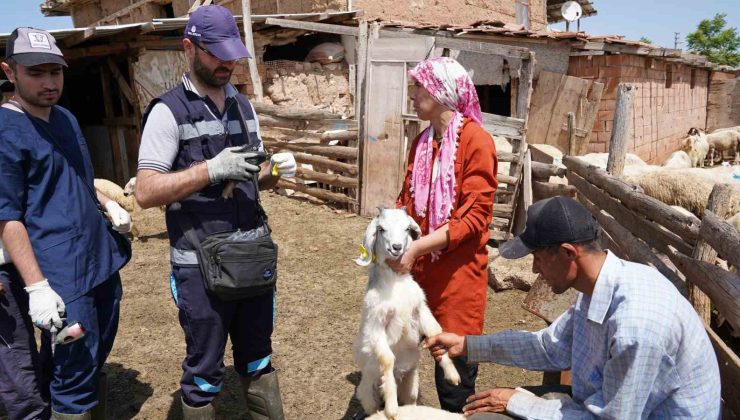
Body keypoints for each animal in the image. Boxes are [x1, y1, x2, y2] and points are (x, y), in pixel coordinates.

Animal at [354, 208, 462, 418]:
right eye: (381, 229)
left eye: (406, 228)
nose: (396, 247)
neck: (395, 284)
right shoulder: (376, 323)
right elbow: (387, 359)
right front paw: (391, 408)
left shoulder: (420, 309)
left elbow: (435, 332)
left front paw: (452, 375)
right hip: (367, 390)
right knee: (370, 405)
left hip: (412, 383)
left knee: (410, 401)